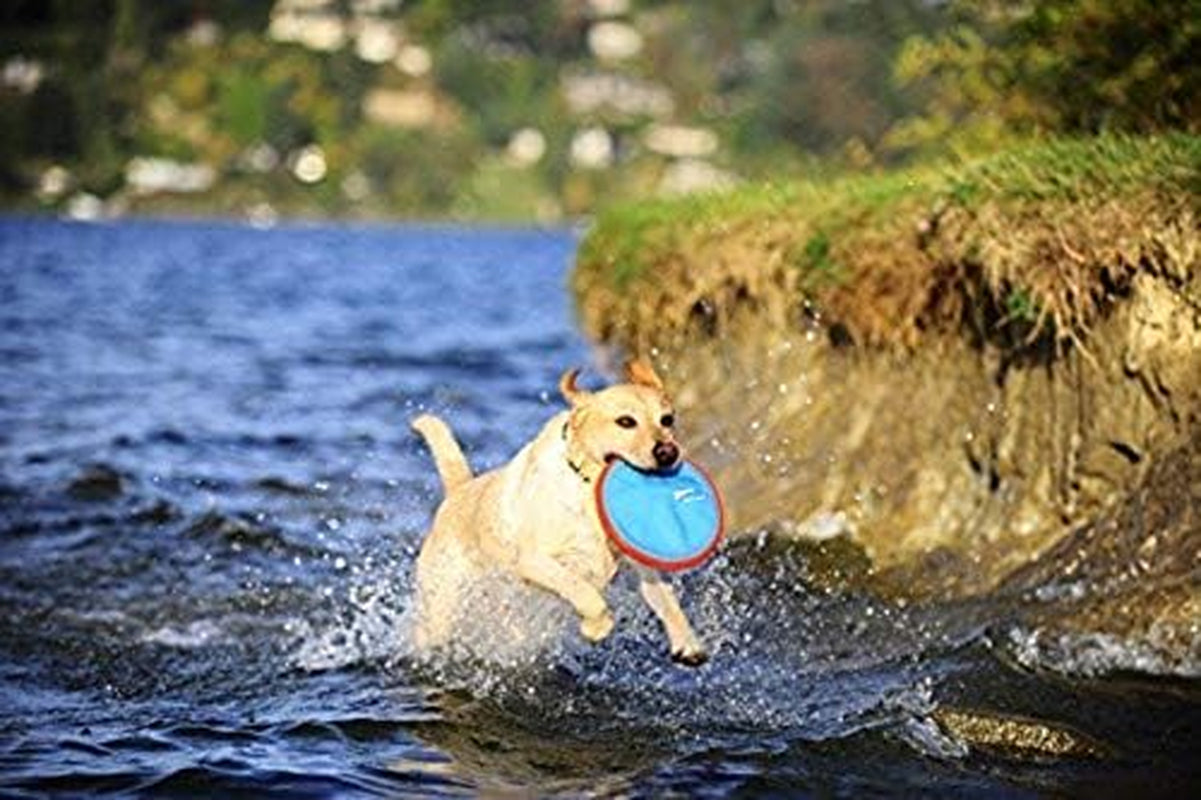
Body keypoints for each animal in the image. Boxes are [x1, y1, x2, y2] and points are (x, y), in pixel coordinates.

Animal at [413, 357, 706, 663]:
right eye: (626, 421)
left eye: (667, 420)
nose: (668, 452)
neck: (590, 491)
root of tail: (458, 490)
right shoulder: (534, 561)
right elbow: (584, 591)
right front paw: (596, 627)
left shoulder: (641, 565)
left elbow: (668, 601)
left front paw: (688, 643)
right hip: (440, 607)